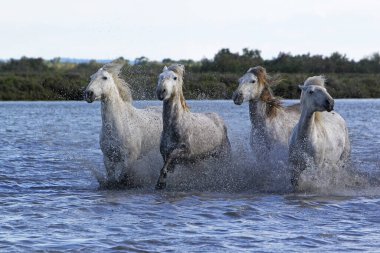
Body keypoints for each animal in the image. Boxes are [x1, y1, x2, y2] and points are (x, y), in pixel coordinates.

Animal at [84, 59, 163, 188]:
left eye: (105, 77)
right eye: (91, 77)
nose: (89, 94)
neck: (119, 124)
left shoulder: (129, 158)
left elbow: (123, 177)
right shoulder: (108, 157)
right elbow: (112, 178)